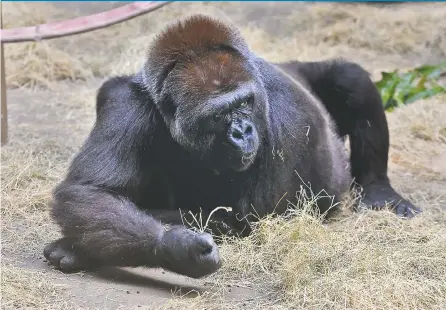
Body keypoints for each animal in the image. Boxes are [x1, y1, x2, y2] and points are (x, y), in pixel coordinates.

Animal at [43, 14, 420, 278]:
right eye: (217, 115)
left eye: (243, 103)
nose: (242, 131)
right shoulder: (127, 103)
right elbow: (90, 191)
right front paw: (174, 247)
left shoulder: (289, 118)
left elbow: (247, 220)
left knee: (350, 77)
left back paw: (380, 191)